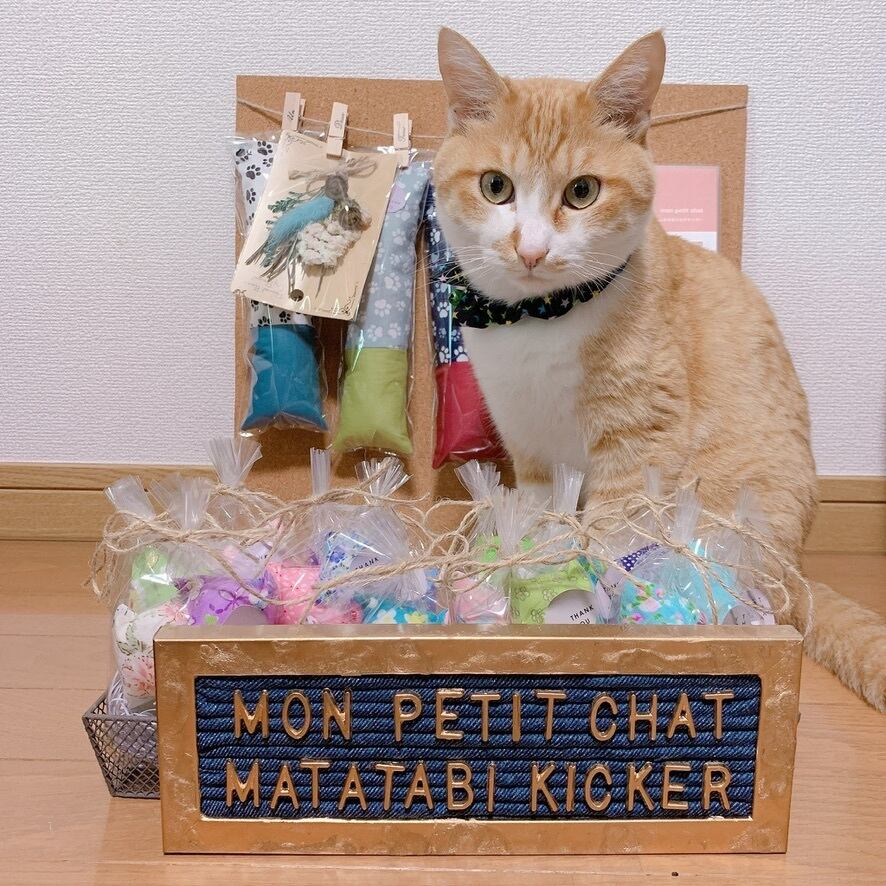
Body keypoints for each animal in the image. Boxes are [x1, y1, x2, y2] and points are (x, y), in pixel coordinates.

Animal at [433, 27, 886, 711]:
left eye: (582, 192)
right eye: (494, 186)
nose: (532, 250)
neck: (540, 322)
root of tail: (796, 566)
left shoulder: (639, 443)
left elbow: (609, 535)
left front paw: (600, 619)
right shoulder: (531, 448)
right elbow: (540, 518)